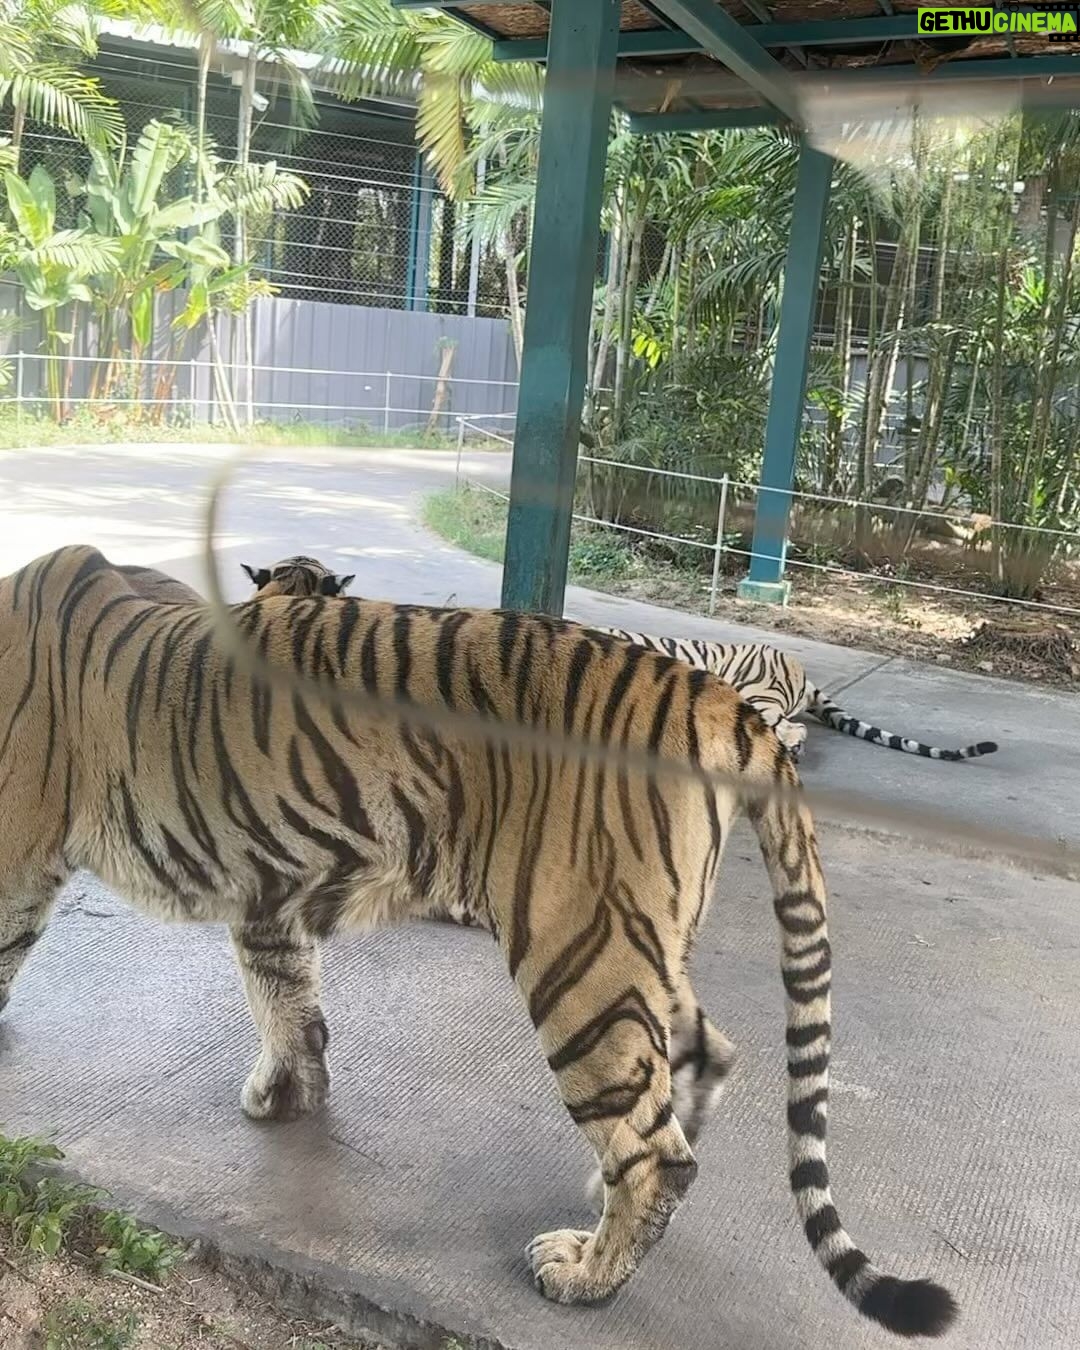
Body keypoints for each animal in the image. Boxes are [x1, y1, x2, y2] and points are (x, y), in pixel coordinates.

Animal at [0, 544, 956, 1337]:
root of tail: (719, 697)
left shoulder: (23, 859)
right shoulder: (272, 881)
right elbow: (287, 995)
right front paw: (289, 1092)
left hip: (579, 953)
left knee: (657, 1153)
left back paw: (582, 1274)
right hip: (641, 941)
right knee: (702, 1059)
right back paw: (597, 1195)